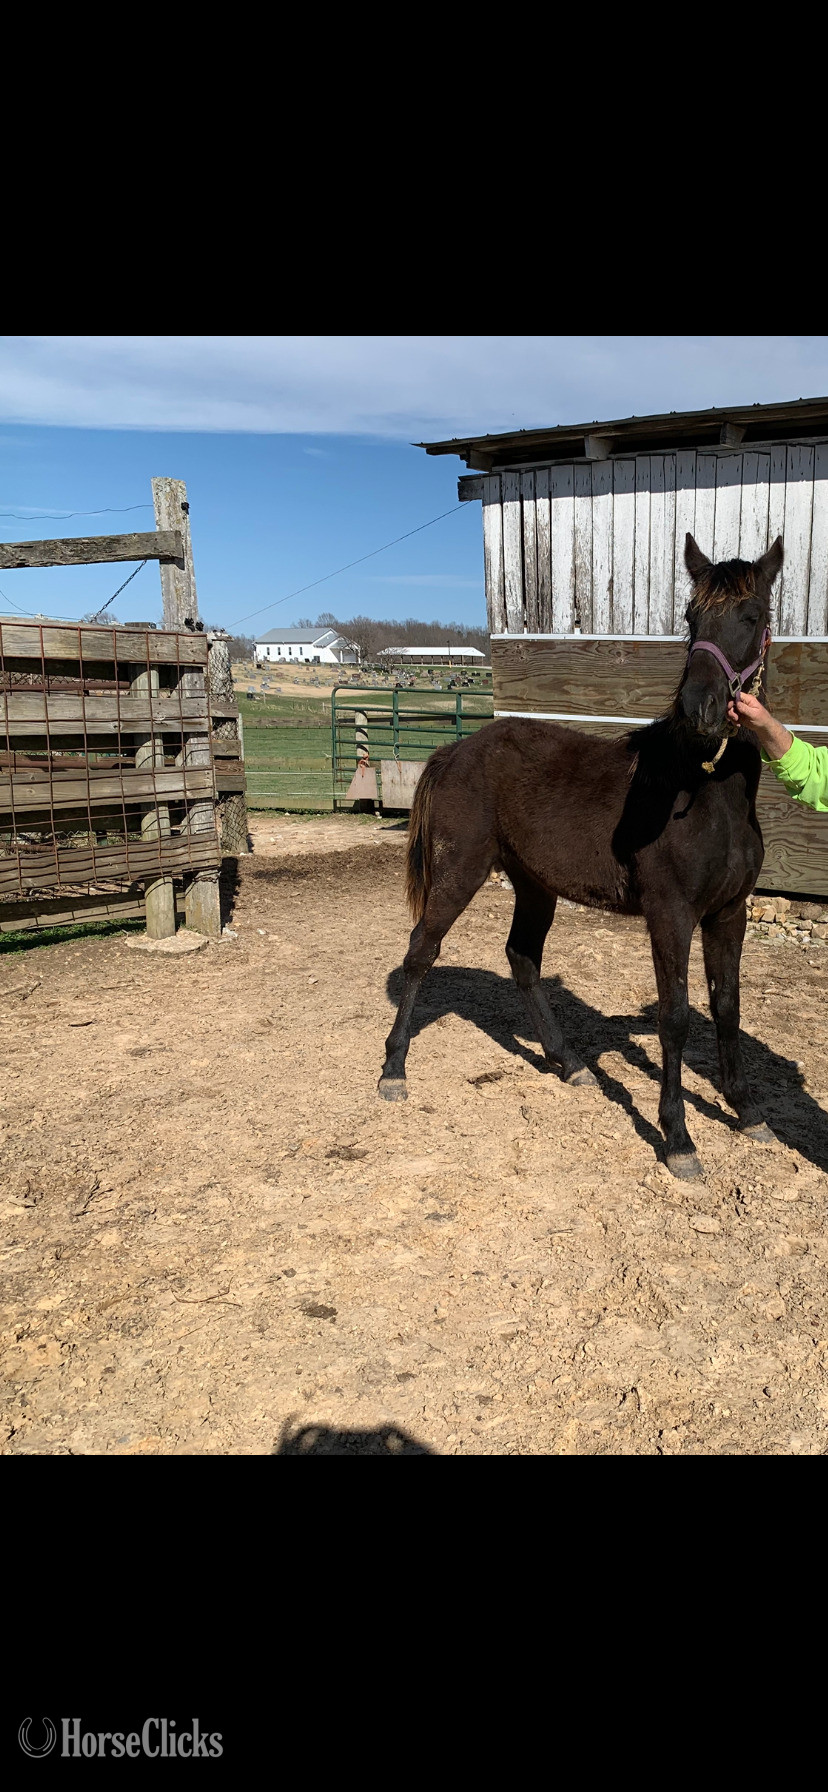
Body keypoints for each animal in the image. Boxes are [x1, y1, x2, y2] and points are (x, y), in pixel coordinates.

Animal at [377, 533, 784, 1181]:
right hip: (458, 871)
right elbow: (676, 1016)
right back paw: (394, 1070)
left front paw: (748, 1113)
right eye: (691, 618)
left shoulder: (728, 914)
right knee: (422, 951)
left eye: (752, 617)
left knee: (522, 958)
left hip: (534, 885)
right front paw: (679, 1139)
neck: (704, 789)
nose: (699, 707)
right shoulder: (671, 915)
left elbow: (727, 1008)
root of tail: (454, 751)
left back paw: (568, 1062)